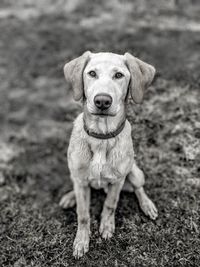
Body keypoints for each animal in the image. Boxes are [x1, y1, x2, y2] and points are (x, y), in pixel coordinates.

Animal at [59, 51, 158, 258]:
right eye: (92, 73)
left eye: (119, 75)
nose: (102, 101)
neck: (101, 137)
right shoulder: (81, 180)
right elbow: (83, 214)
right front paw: (81, 241)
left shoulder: (118, 181)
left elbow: (110, 205)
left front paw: (106, 226)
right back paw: (70, 197)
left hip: (135, 172)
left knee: (138, 188)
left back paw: (147, 205)